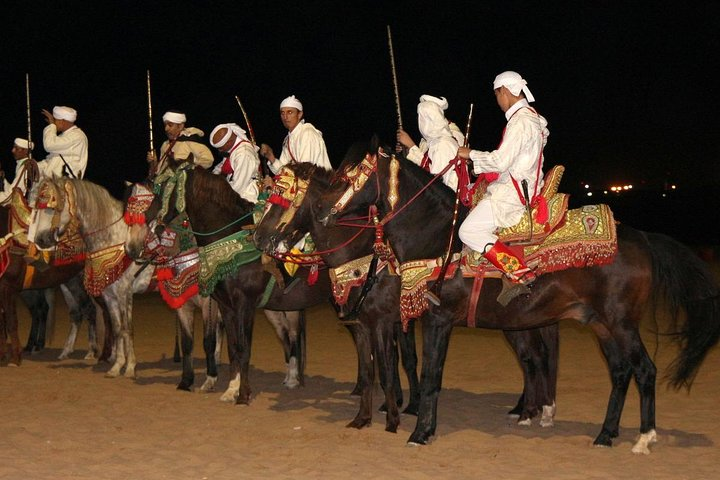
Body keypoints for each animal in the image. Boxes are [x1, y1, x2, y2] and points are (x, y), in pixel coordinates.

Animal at [28, 178, 219, 392]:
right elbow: (118, 328)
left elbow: (128, 328)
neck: (114, 238)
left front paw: (130, 367)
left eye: (53, 207)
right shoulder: (110, 295)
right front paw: (117, 366)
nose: (40, 240)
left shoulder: (125, 292)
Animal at [125, 165, 416, 428]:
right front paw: (231, 390)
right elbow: (233, 349)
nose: (137, 244)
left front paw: (243, 395)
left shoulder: (244, 305)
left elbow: (243, 348)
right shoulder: (226, 307)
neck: (229, 241)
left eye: (161, 190)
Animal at [314, 146, 720, 454]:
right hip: (601, 325)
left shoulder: (436, 319)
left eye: (348, 176)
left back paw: (644, 438)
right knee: (621, 372)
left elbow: (431, 376)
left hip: (621, 323)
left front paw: (420, 433)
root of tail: (643, 238)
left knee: (645, 370)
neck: (438, 238)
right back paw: (605, 434)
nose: (321, 212)